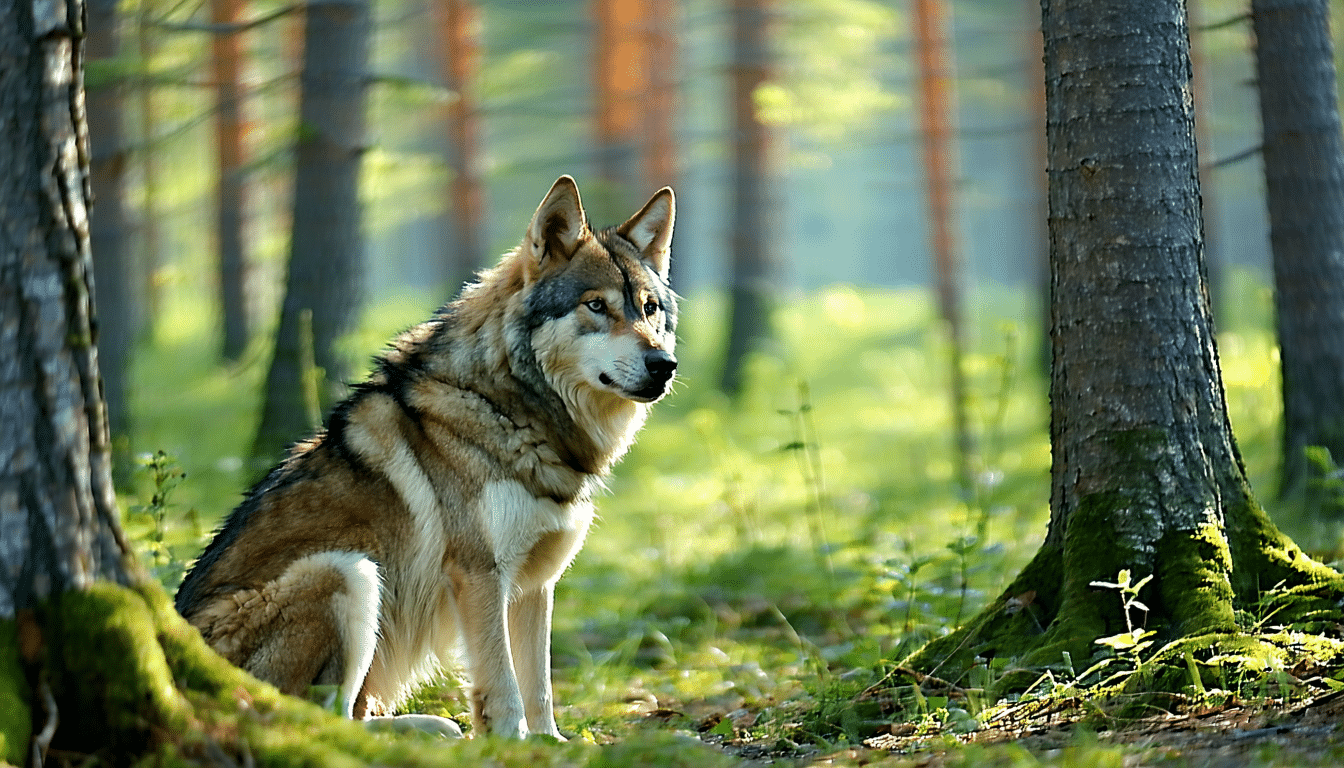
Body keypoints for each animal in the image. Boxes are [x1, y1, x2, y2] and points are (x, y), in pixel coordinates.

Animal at [175, 176, 678, 739]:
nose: (665, 364)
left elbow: (540, 687)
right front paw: (510, 744)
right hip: (349, 572)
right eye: (596, 306)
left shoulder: (535, 583)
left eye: (649, 308)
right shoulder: (479, 574)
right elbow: (504, 686)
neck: (509, 404)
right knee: (321, 717)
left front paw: (550, 744)